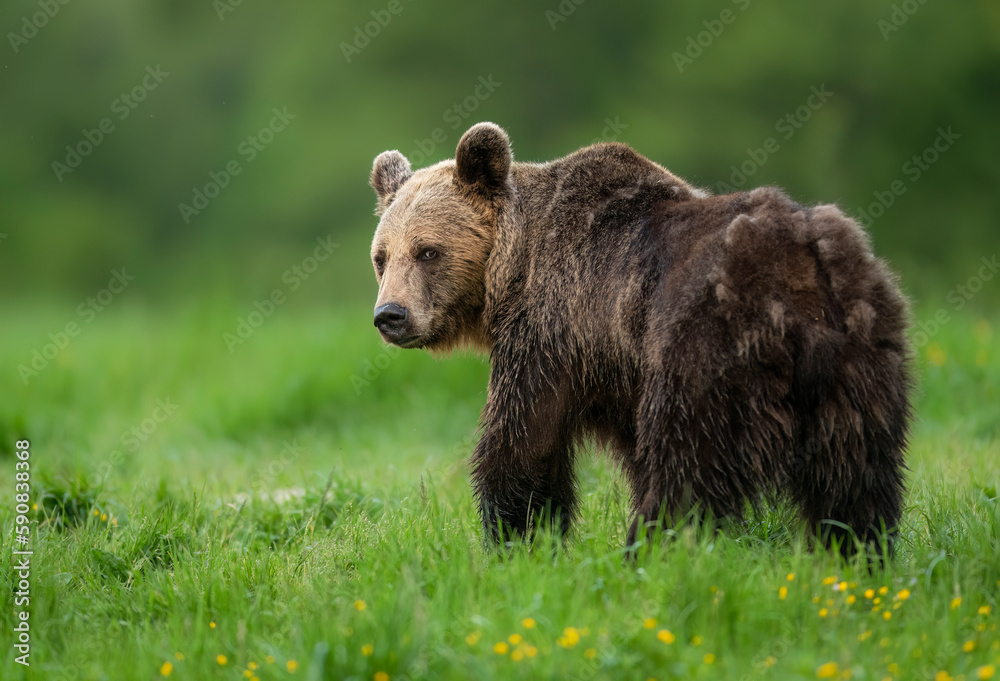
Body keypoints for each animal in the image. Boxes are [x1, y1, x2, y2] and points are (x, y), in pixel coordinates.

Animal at [368, 121, 912, 557]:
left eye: (428, 251)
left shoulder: (553, 327)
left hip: (706, 347)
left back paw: (648, 550)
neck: (513, 266)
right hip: (860, 354)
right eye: (381, 256)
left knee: (687, 463)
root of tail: (797, 269)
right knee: (857, 470)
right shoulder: (614, 366)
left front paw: (515, 538)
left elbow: (525, 437)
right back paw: (858, 551)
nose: (390, 315)